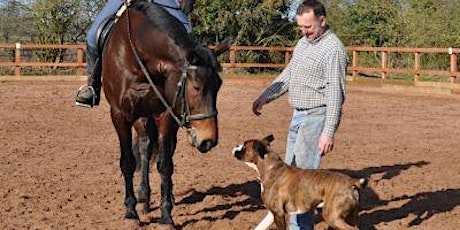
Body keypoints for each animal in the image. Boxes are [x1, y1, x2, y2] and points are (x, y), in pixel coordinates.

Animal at [102, 0, 228, 226]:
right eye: (196, 87)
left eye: (218, 86)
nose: (209, 140)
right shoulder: (119, 115)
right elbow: (128, 163)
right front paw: (130, 212)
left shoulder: (166, 114)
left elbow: (165, 164)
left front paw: (166, 215)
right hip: (140, 117)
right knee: (144, 146)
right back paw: (143, 199)